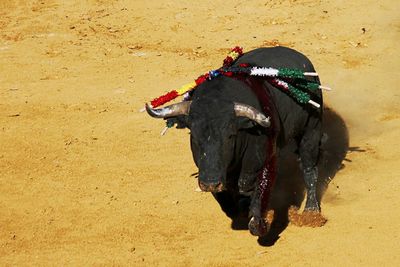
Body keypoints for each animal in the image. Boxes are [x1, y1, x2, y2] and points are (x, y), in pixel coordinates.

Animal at [145, 47, 324, 238]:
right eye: (194, 135)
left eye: (230, 135)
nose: (210, 183)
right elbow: (226, 196)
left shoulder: (267, 155)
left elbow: (254, 185)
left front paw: (259, 223)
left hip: (311, 130)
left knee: (309, 168)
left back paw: (311, 212)